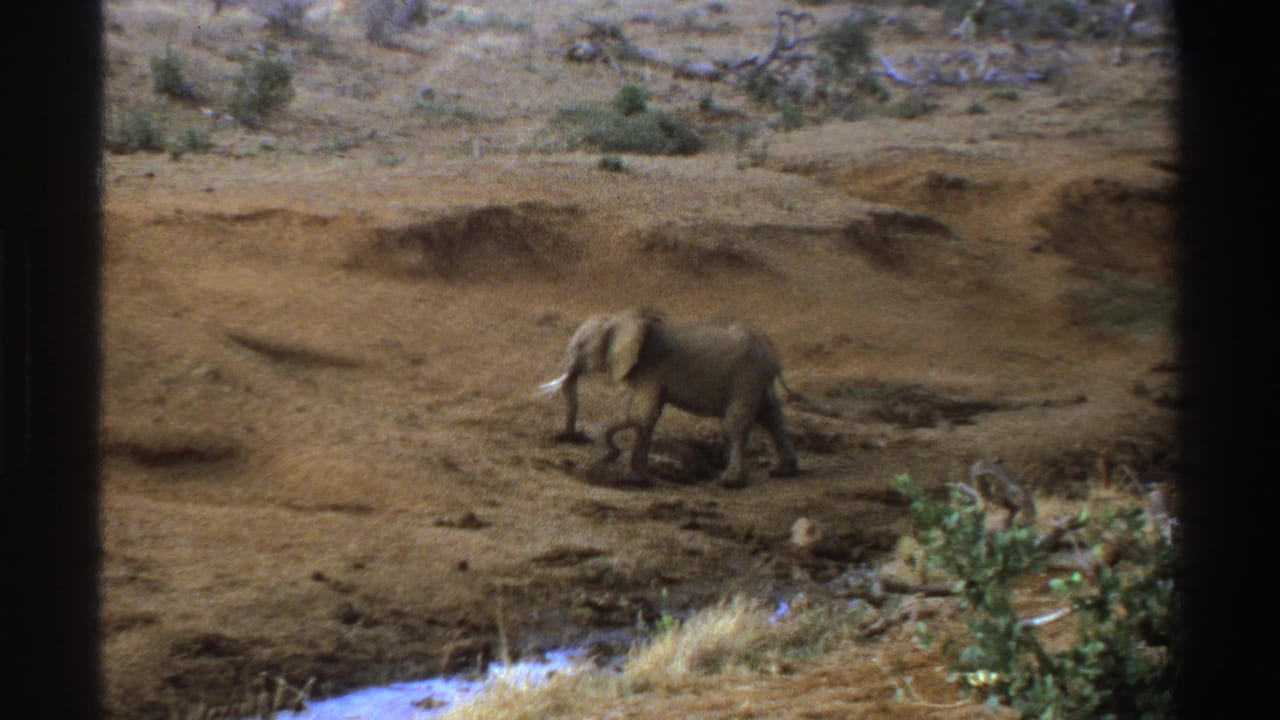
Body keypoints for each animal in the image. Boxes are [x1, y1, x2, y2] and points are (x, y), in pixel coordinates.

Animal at [539, 309, 799, 488]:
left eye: (581, 346)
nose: (568, 437)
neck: (622, 319)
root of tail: (773, 355)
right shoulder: (645, 371)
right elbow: (647, 419)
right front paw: (635, 479)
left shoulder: (652, 369)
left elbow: (641, 414)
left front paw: (610, 455)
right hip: (757, 381)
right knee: (772, 418)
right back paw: (782, 471)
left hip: (746, 378)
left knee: (737, 423)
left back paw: (729, 482)